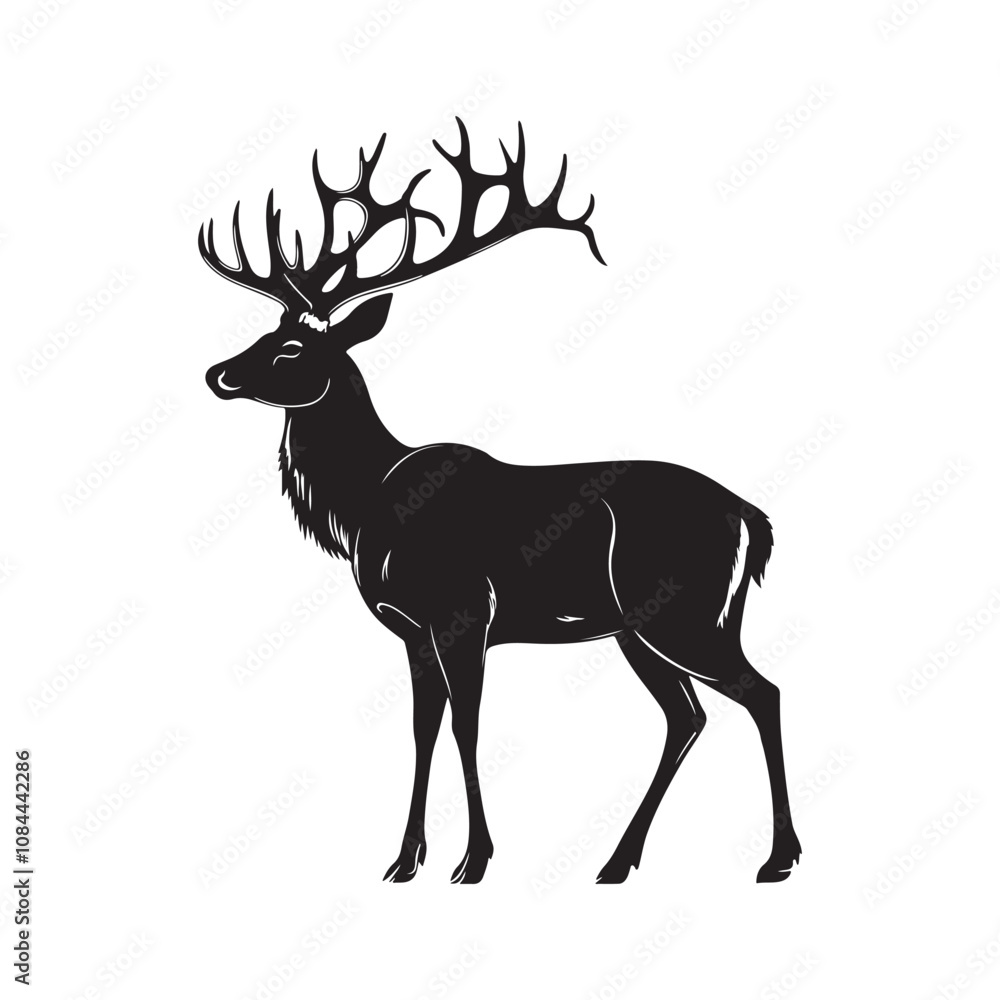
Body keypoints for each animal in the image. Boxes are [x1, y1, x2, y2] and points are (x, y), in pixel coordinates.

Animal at [200, 120, 801, 885]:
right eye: (265, 334)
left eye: (291, 349)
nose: (217, 374)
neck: (366, 506)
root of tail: (755, 519)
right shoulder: (412, 628)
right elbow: (423, 728)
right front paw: (405, 861)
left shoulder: (463, 610)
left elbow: (467, 724)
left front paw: (475, 859)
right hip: (640, 626)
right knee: (687, 715)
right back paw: (617, 862)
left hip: (684, 612)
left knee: (761, 692)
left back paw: (777, 858)